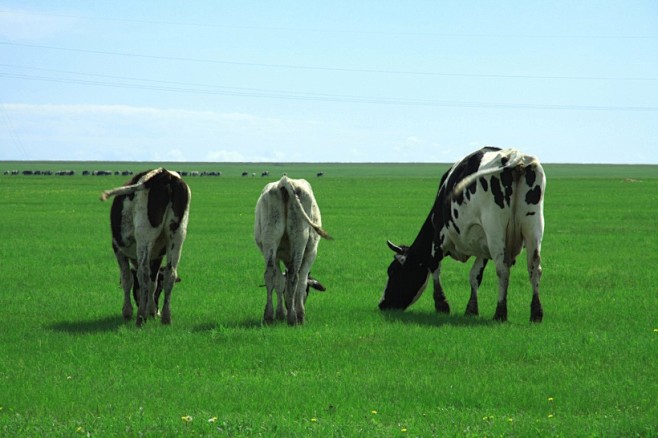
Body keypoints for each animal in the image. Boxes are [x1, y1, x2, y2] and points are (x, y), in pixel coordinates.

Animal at [100, 169, 191, 326]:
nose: (157, 312)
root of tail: (165, 175)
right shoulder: (158, 256)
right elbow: (153, 283)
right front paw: (153, 311)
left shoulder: (118, 249)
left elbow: (127, 279)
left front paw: (128, 312)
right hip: (177, 235)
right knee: (170, 273)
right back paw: (166, 317)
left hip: (144, 234)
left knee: (142, 273)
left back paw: (140, 317)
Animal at [254, 175, 330, 326]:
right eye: (308, 292)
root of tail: (285, 181)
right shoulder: (311, 254)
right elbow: (301, 282)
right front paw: (298, 313)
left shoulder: (277, 256)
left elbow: (279, 282)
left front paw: (280, 313)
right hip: (299, 238)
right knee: (294, 276)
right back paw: (293, 317)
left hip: (271, 237)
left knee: (269, 275)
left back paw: (269, 316)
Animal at [380, 147, 544, 322]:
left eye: (393, 271)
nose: (382, 304)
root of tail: (515, 157)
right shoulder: (483, 246)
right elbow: (475, 276)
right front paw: (471, 309)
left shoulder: (439, 237)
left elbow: (434, 266)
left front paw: (442, 305)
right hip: (533, 228)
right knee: (534, 267)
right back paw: (536, 313)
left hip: (495, 229)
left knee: (503, 268)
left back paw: (500, 313)